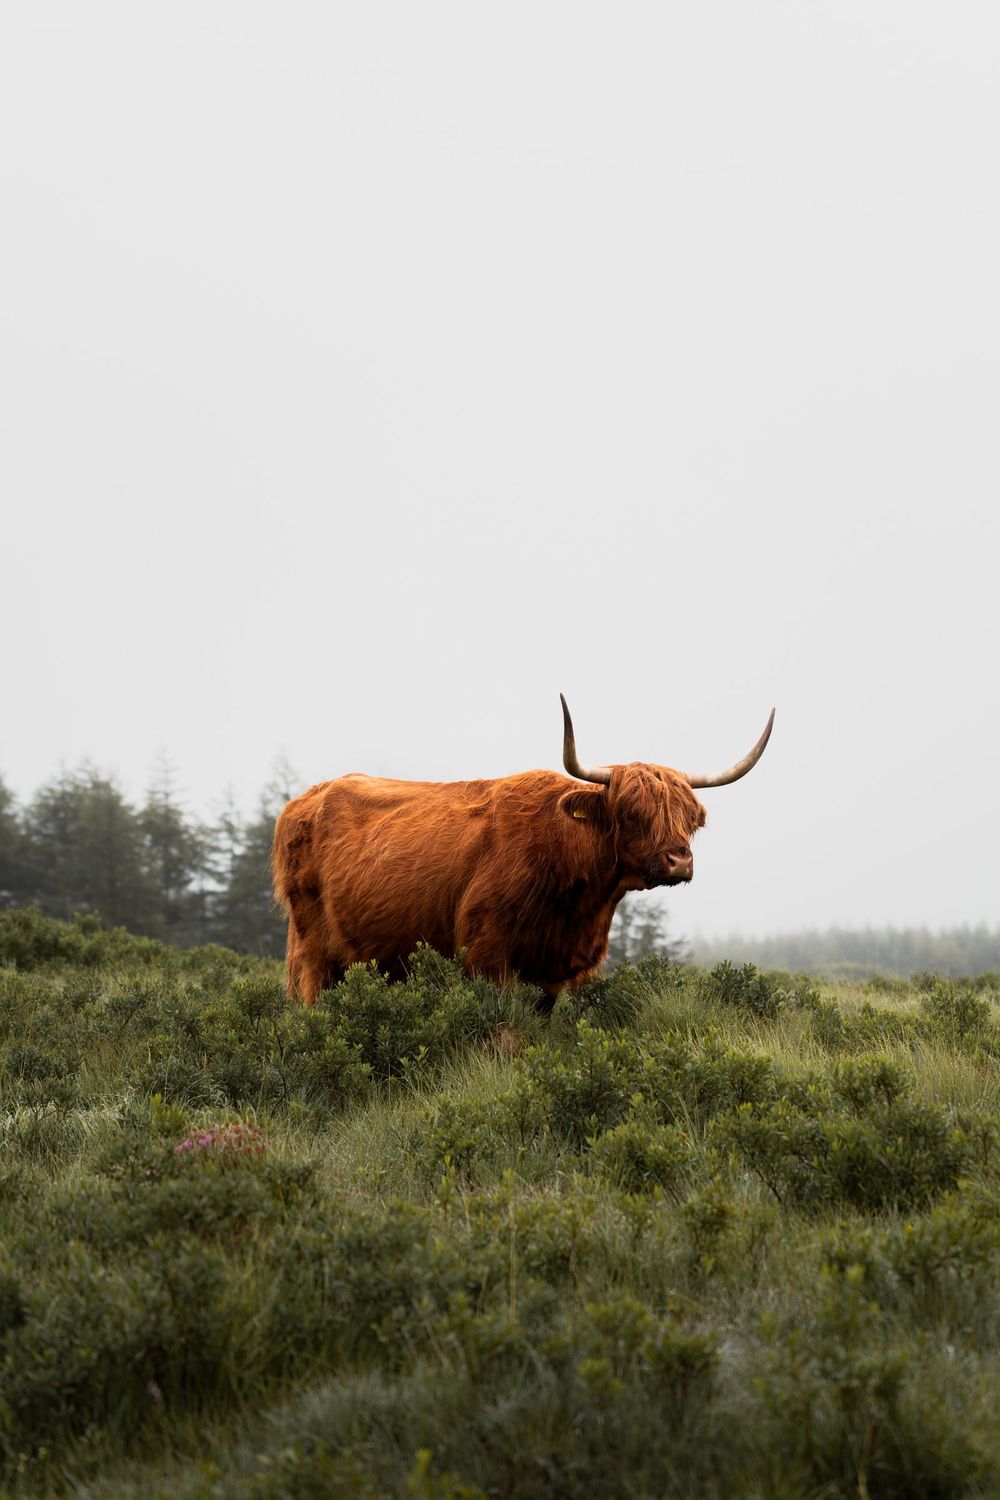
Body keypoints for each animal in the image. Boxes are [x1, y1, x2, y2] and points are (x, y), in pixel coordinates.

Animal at [272, 696, 774, 1010]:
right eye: (632, 812)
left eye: (691, 817)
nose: (678, 860)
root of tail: (302, 802)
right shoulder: (485, 954)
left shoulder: (552, 972)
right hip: (314, 949)